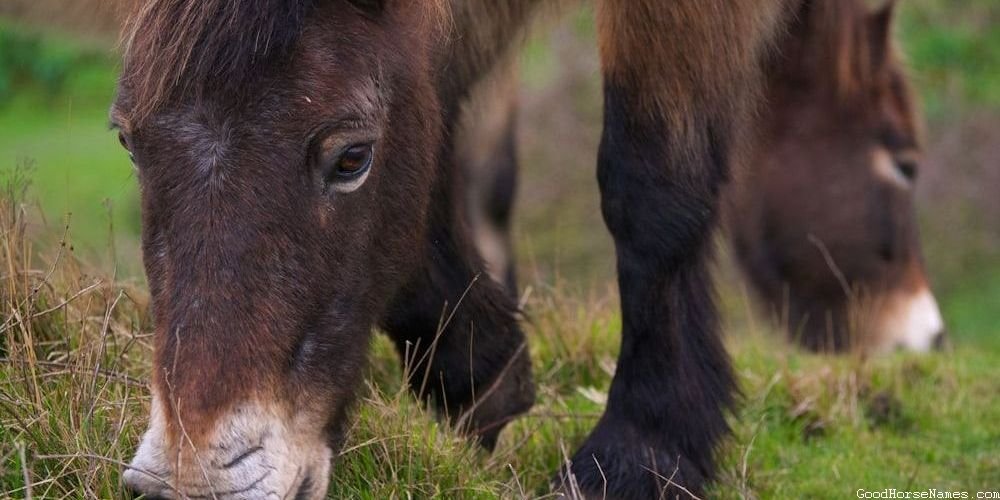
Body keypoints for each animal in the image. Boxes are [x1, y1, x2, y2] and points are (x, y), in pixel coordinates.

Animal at [115, 0, 788, 500]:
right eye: (127, 141)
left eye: (352, 157)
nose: (192, 479)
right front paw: (482, 374)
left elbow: (649, 189)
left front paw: (642, 453)